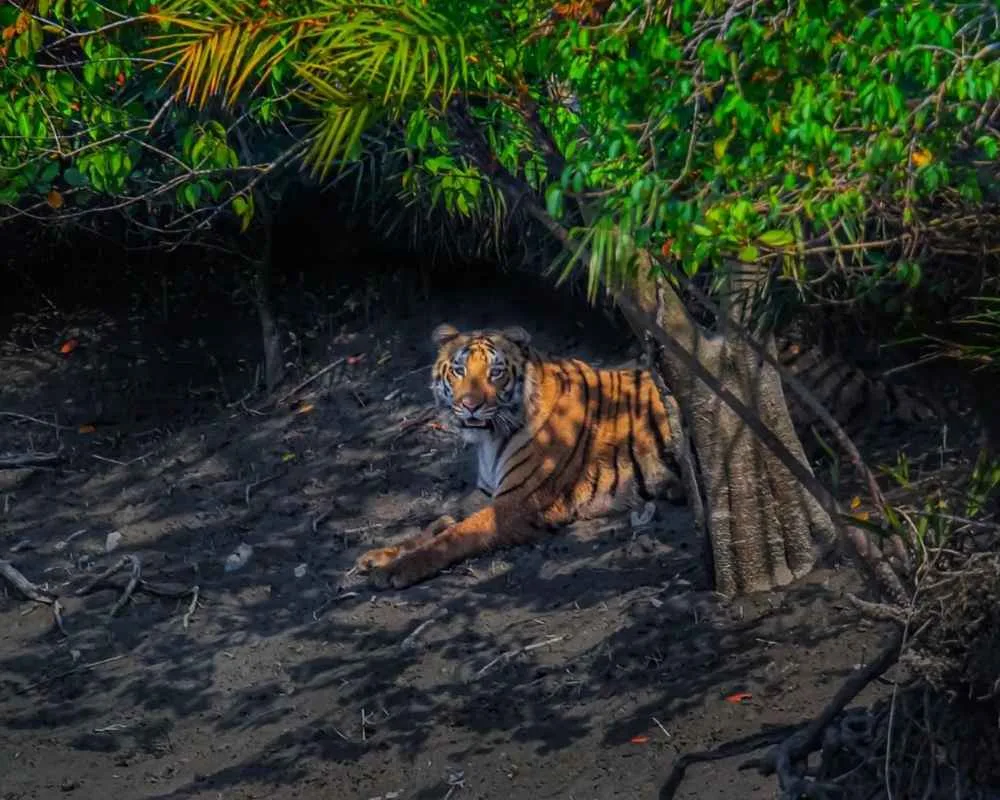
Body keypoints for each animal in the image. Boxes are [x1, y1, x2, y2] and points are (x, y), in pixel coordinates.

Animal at [355, 323, 686, 589]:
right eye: (459, 370)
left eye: (495, 372)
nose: (470, 405)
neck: (490, 439)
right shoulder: (487, 494)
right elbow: (436, 525)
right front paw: (379, 555)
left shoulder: (516, 504)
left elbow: (456, 534)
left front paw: (395, 570)